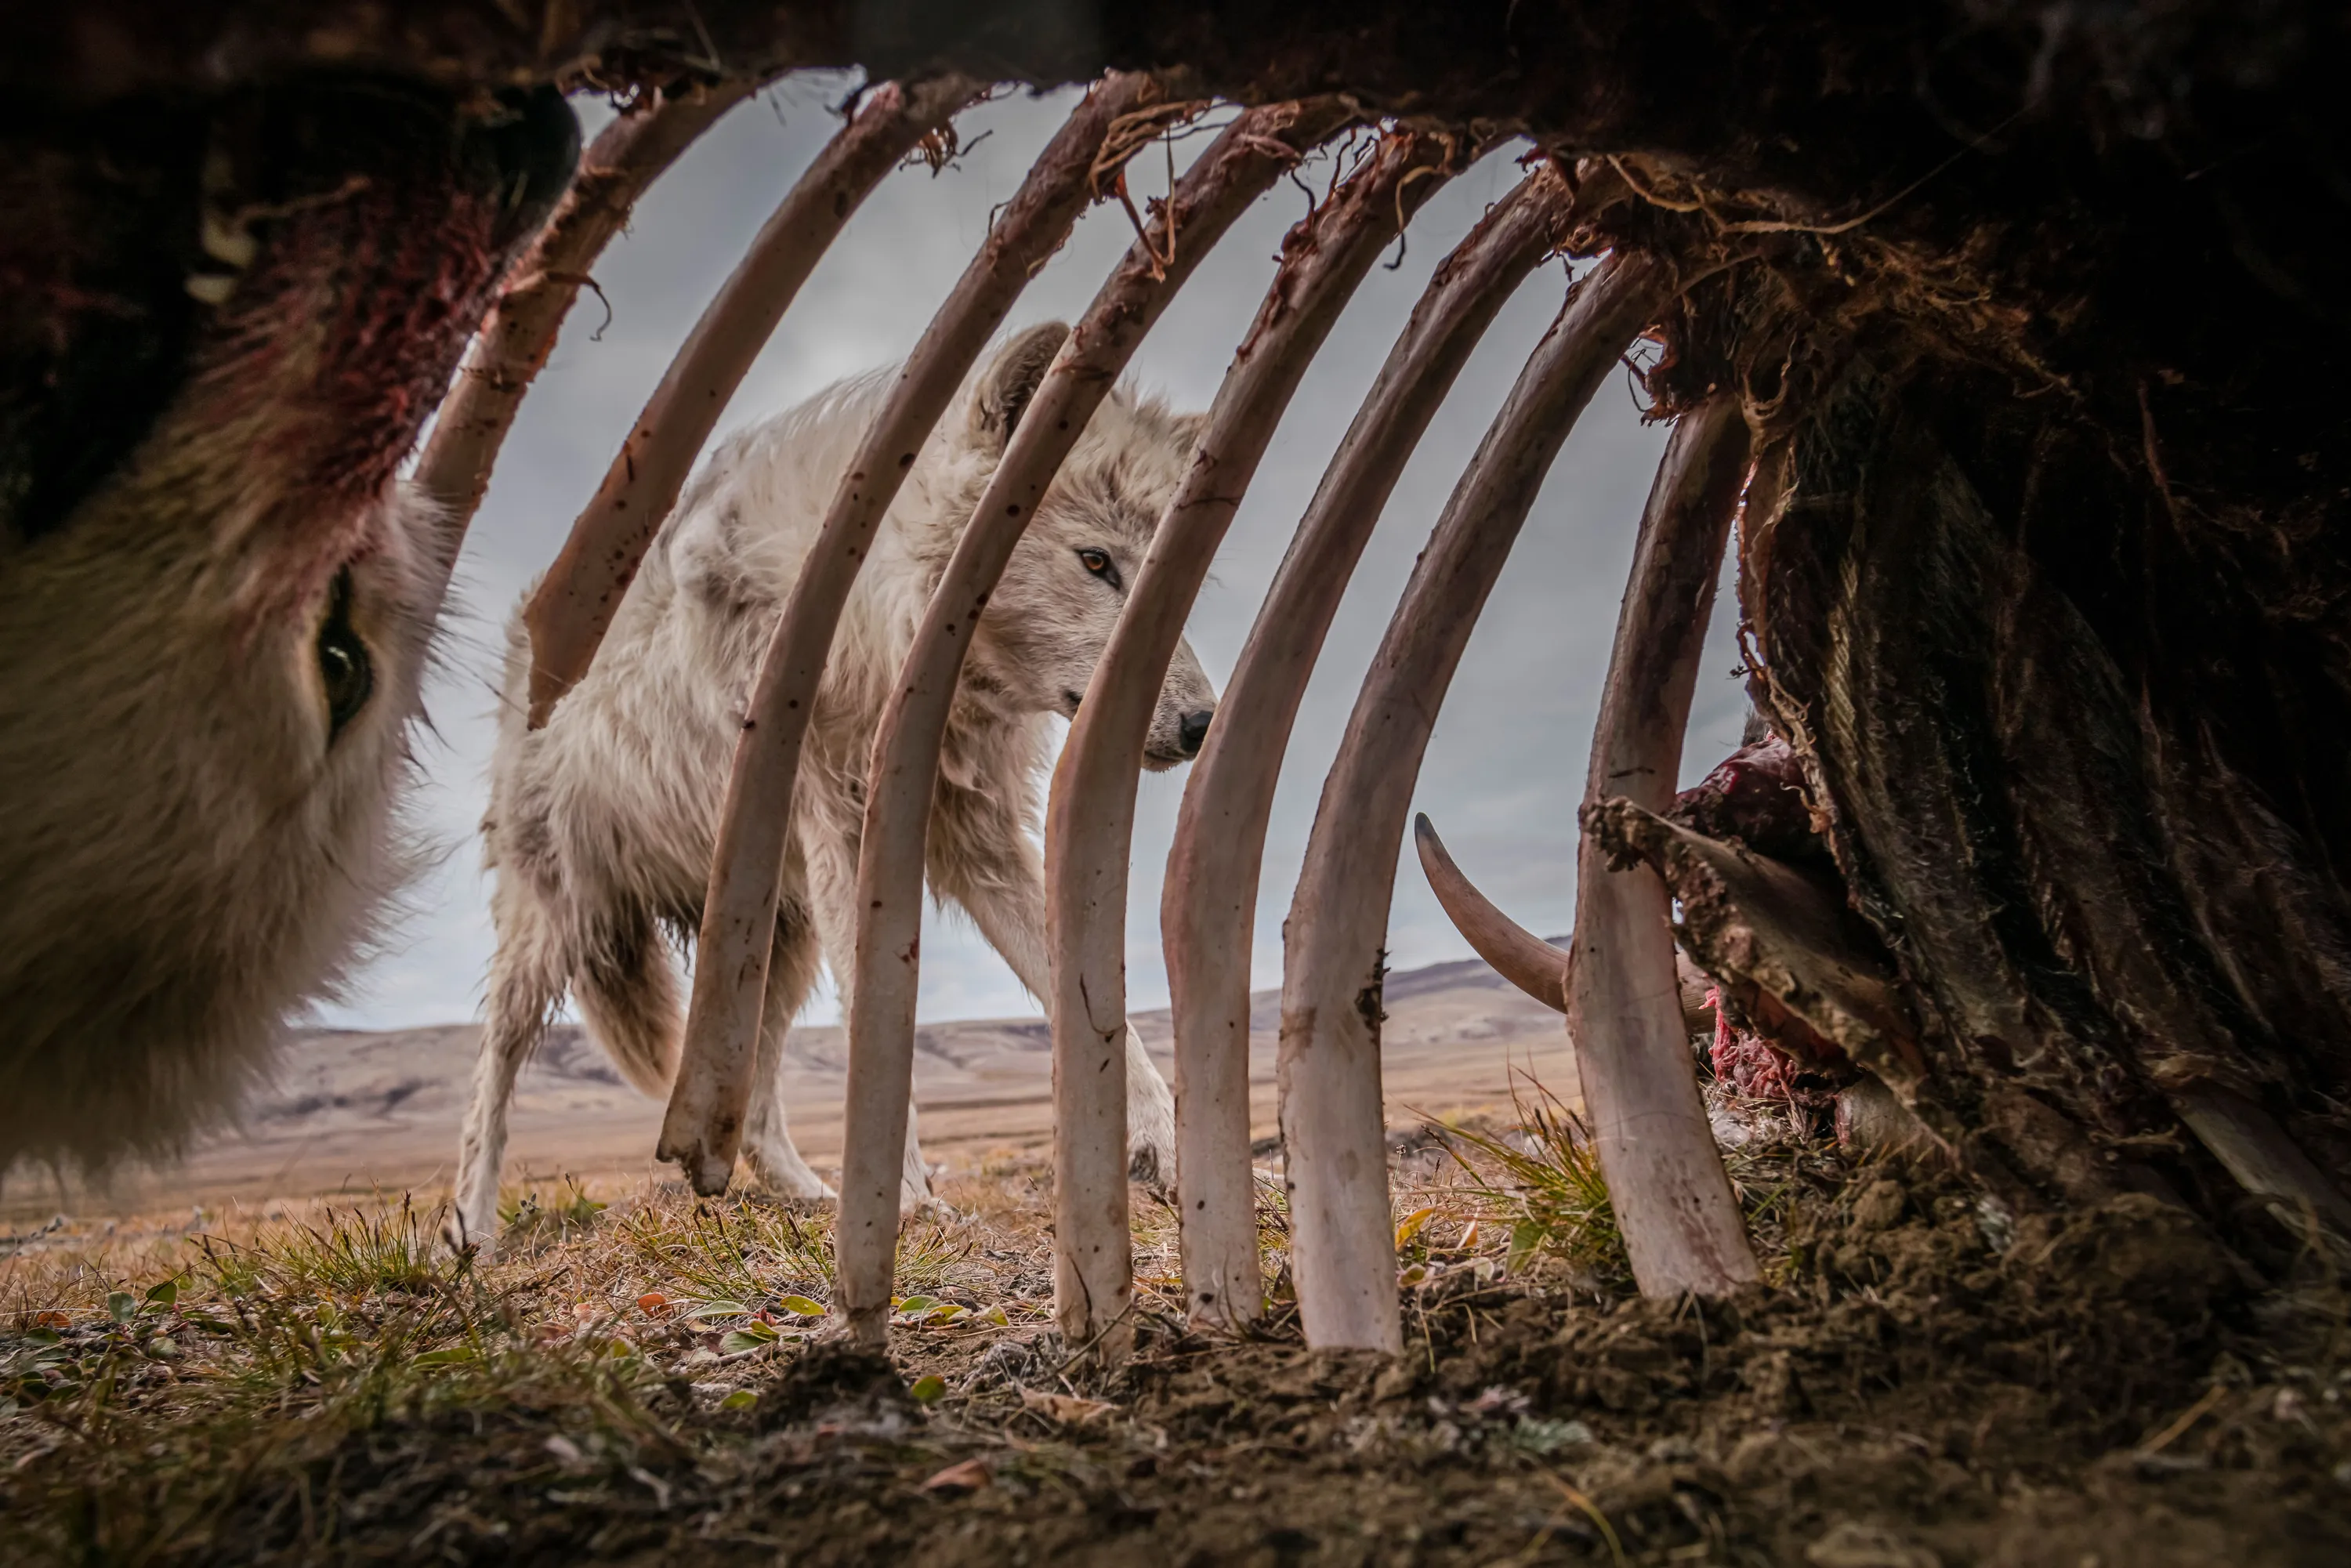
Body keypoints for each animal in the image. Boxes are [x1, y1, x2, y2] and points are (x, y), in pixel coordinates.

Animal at [454, 324, 1213, 1241]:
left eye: (1173, 576)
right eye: (1096, 561)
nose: (1204, 724)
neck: (885, 640)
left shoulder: (979, 845)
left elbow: (1097, 1007)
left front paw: (1167, 1146)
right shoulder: (848, 837)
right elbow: (876, 1028)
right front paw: (906, 1203)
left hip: (778, 941)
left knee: (755, 1101)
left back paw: (805, 1194)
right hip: (556, 930)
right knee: (491, 1075)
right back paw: (469, 1231)